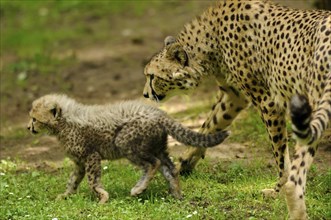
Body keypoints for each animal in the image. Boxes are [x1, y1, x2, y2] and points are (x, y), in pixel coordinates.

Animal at [143, 0, 331, 218]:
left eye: (152, 76)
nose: (145, 95)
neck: (210, 37)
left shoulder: (267, 101)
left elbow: (280, 155)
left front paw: (277, 189)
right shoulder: (234, 96)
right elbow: (208, 126)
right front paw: (183, 164)